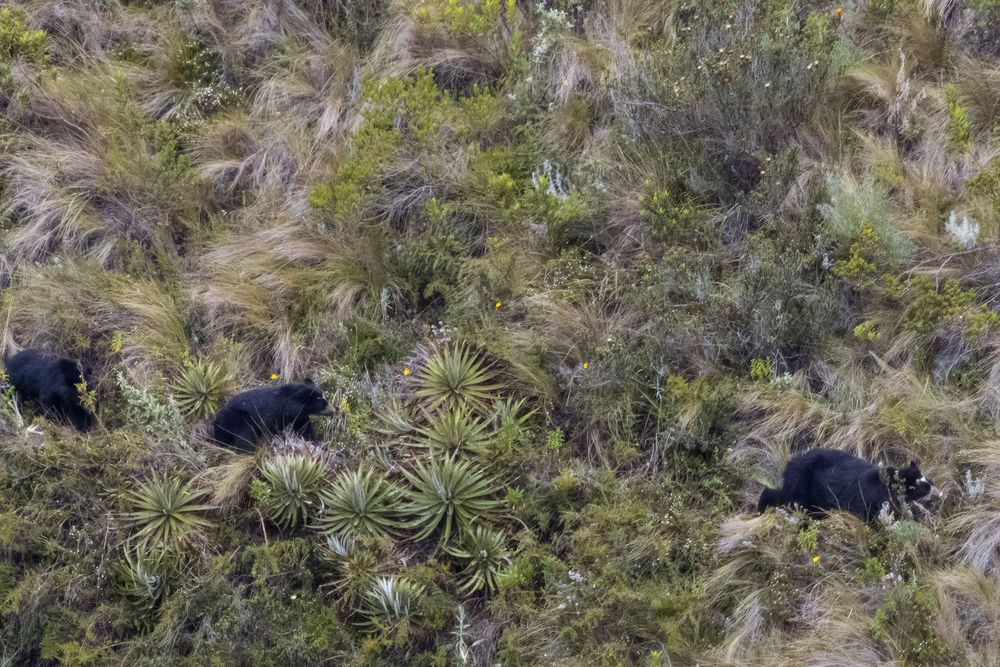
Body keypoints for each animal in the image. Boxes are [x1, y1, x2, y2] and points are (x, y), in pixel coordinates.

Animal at [757, 448, 943, 523]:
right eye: (915, 485)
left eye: (925, 477)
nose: (932, 486)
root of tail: (790, 464)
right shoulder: (868, 503)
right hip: (802, 485)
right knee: (786, 497)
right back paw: (761, 509)